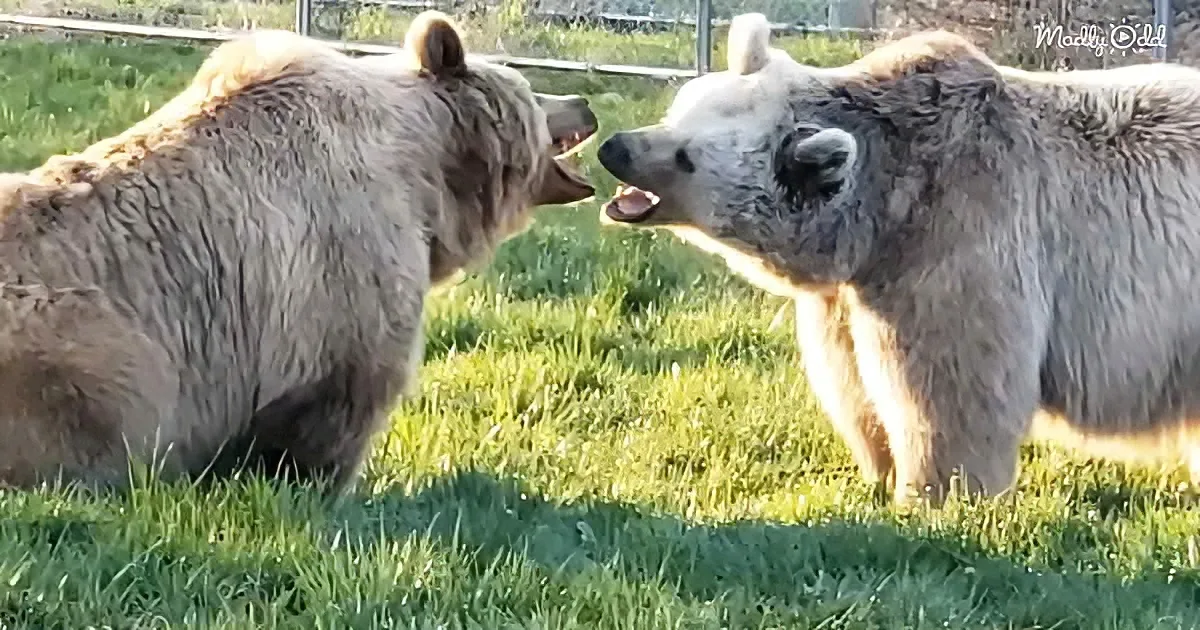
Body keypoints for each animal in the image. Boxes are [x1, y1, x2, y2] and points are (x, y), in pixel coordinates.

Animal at [0, 11, 598, 494]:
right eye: (533, 92)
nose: (583, 102)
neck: (429, 179)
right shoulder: (341, 267)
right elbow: (339, 402)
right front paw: (319, 484)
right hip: (85, 343)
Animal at [595, 12, 1200, 505]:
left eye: (686, 157)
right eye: (678, 111)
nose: (614, 148)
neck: (883, 214)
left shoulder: (959, 236)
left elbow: (950, 389)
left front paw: (935, 493)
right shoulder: (850, 293)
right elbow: (851, 382)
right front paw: (878, 469)